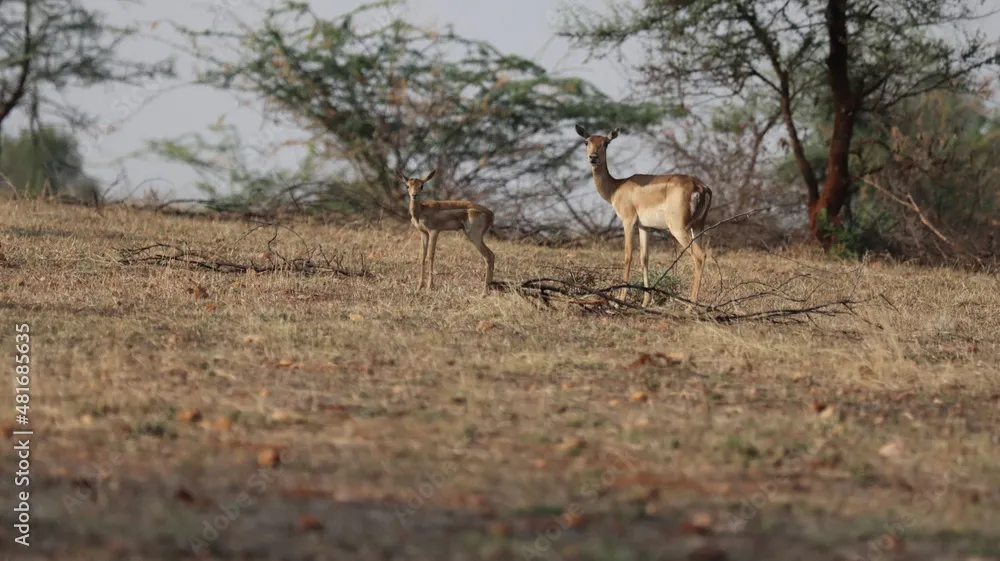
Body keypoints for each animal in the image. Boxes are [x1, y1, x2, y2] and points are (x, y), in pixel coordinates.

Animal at [575, 125, 713, 308]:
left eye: (606, 143)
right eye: (586, 142)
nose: (593, 157)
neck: (617, 188)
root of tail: (700, 186)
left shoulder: (628, 221)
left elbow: (628, 256)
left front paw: (620, 299)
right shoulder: (644, 227)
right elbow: (644, 258)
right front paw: (645, 301)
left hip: (678, 228)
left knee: (699, 256)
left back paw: (690, 307)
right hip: (698, 226)